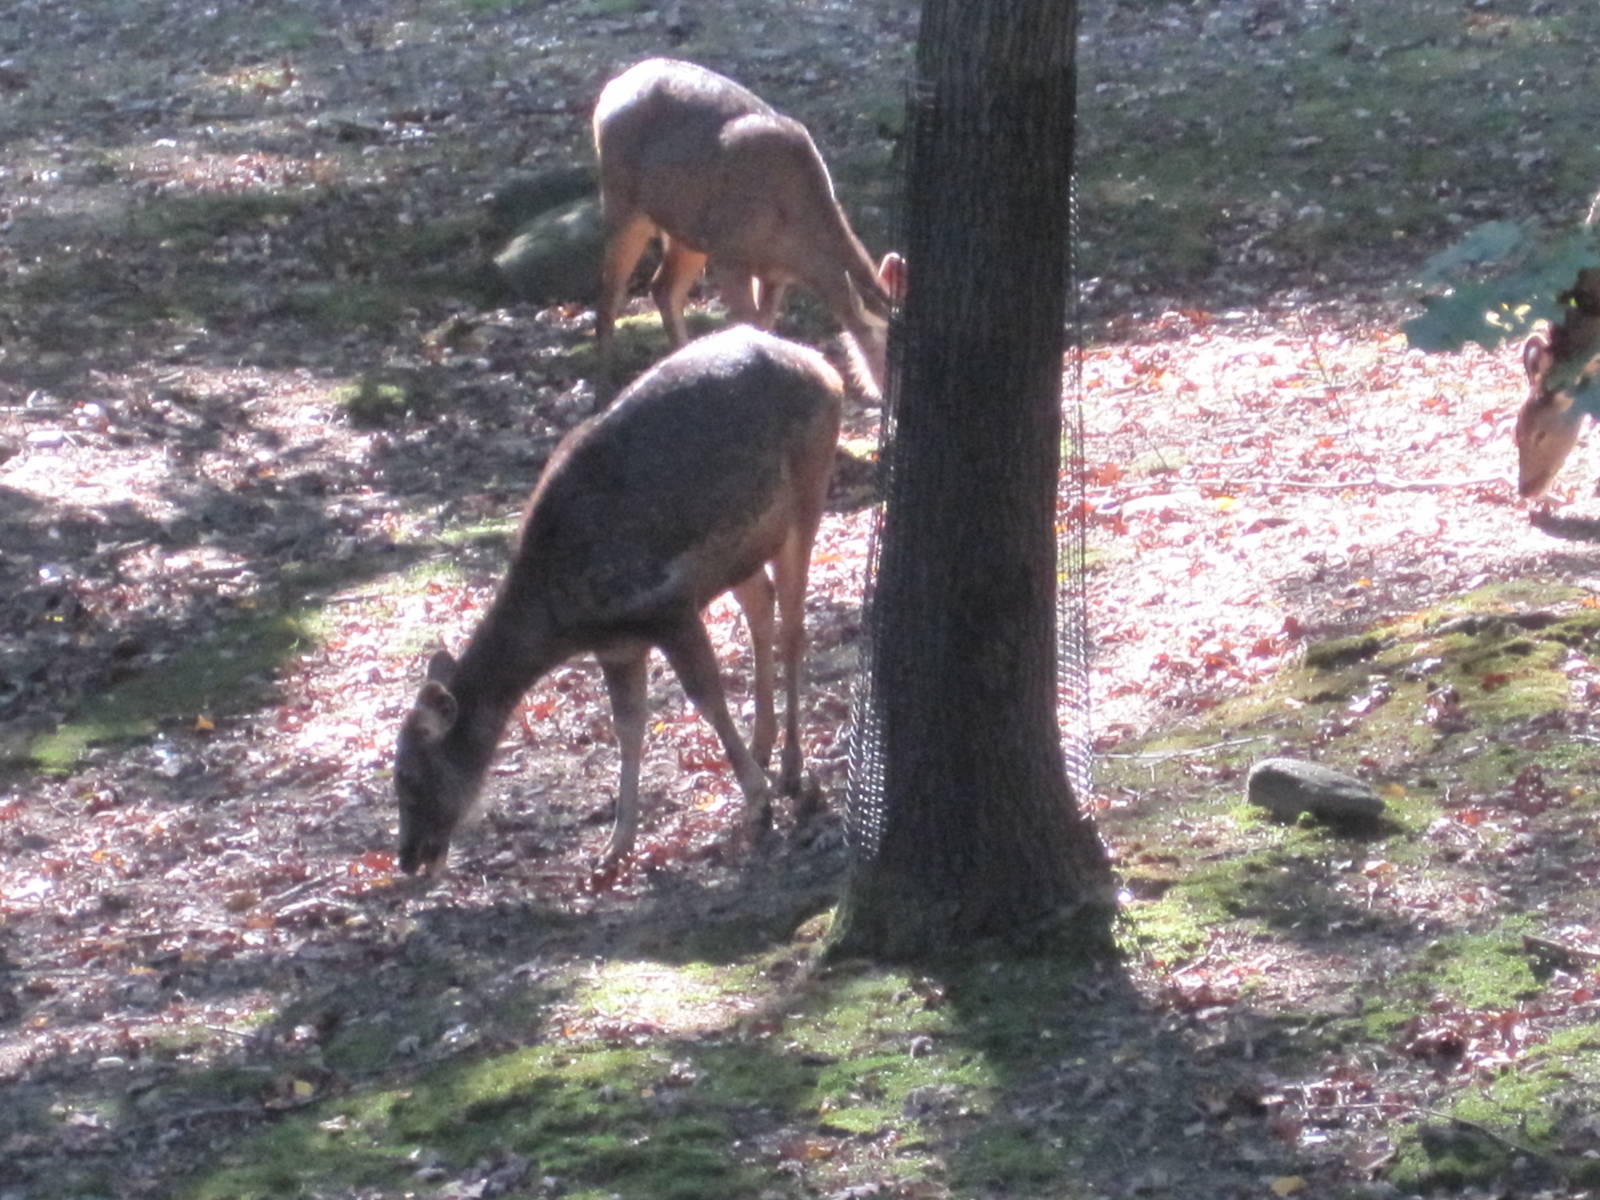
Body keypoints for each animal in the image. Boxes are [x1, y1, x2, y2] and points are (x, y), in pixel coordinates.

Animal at [393, 326, 844, 877]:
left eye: (410, 775)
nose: (408, 856)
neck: (569, 617)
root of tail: (826, 368)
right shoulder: (619, 645)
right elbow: (628, 727)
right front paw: (616, 846)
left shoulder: (669, 606)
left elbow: (707, 699)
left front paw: (757, 806)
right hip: (743, 552)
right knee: (762, 603)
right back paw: (763, 744)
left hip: (809, 489)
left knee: (793, 627)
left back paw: (792, 769)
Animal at [592, 57, 902, 393]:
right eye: (892, 356)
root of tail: (609, 89)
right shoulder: (730, 256)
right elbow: (748, 326)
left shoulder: (775, 276)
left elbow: (764, 326)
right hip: (623, 203)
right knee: (608, 301)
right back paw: (603, 392)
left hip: (688, 229)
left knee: (662, 288)